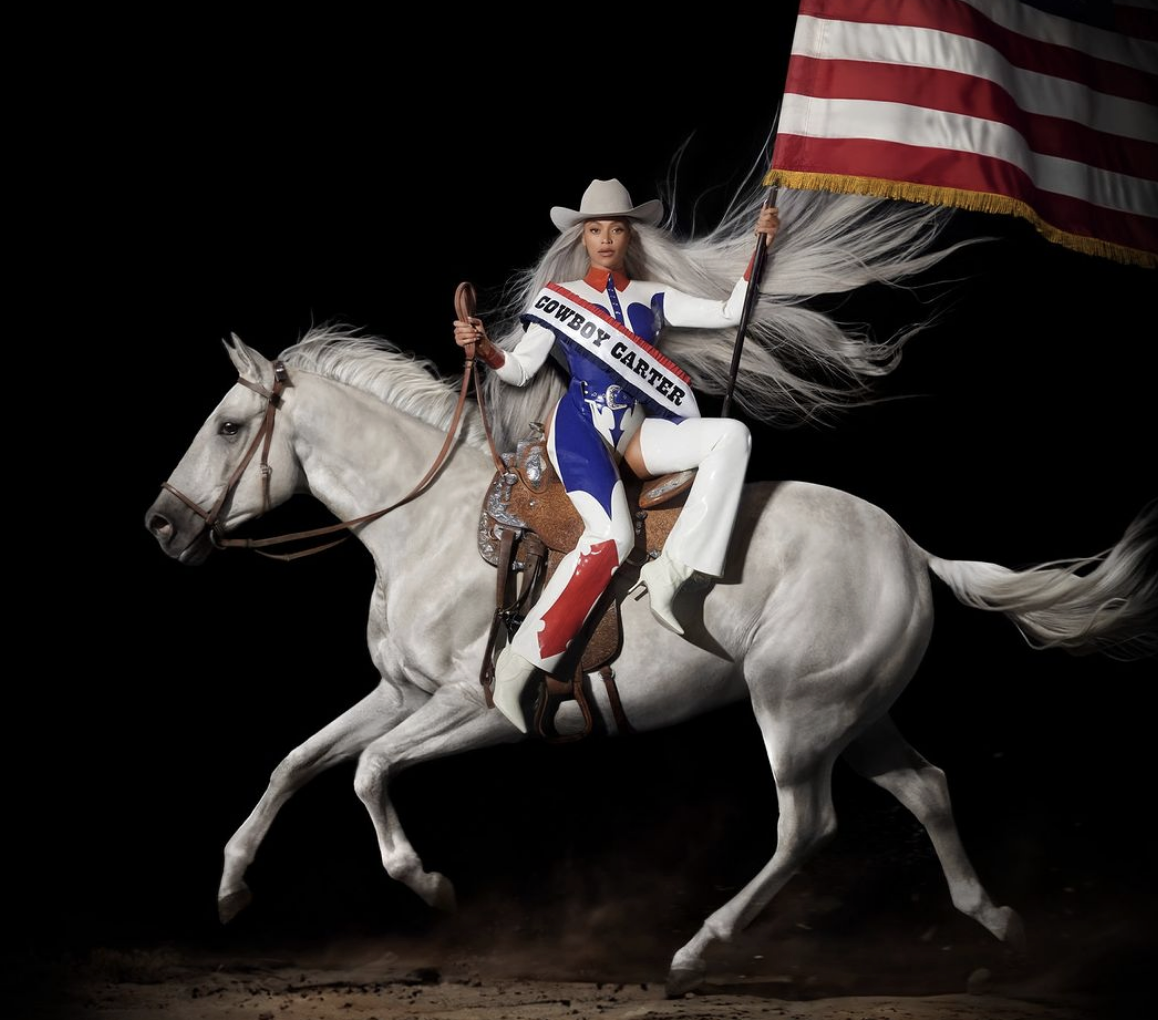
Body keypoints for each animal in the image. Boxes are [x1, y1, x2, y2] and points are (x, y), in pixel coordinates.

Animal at [144, 328, 1158, 995]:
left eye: (228, 426)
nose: (160, 525)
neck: (431, 528)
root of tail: (911, 550)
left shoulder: (476, 708)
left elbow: (367, 774)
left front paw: (427, 883)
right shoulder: (399, 693)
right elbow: (299, 762)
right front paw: (231, 887)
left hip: (797, 715)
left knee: (808, 827)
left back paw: (697, 951)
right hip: (856, 716)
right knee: (928, 789)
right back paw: (996, 921)